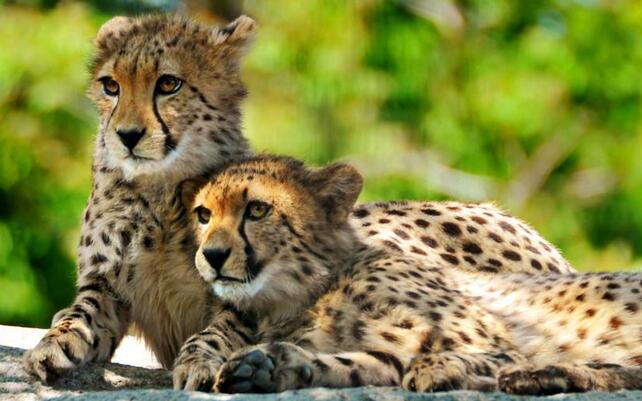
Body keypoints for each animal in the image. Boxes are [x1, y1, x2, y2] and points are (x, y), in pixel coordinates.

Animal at [23, 14, 257, 382]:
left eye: (168, 84)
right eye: (111, 86)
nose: (127, 135)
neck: (161, 193)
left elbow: (220, 330)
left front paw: (200, 360)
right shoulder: (105, 285)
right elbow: (81, 313)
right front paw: (54, 343)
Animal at [170, 155, 637, 396]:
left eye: (257, 209)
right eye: (204, 215)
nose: (212, 255)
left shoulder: (489, 336)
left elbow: (478, 353)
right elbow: (364, 362)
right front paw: (261, 365)